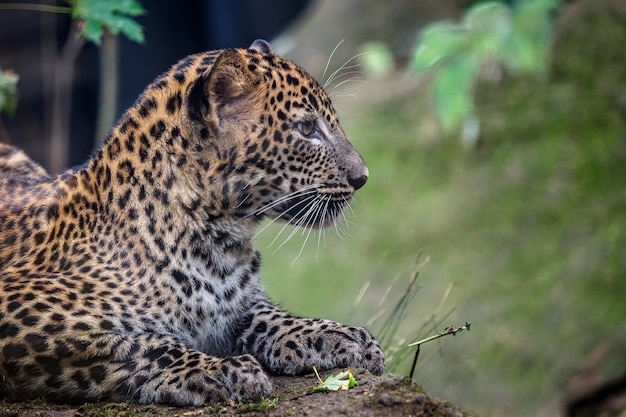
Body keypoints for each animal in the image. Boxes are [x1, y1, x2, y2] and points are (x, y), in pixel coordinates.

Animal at [0, 39, 382, 406]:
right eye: (306, 128)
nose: (362, 177)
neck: (216, 244)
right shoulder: (22, 309)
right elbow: (139, 344)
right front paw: (221, 371)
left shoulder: (238, 303)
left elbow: (270, 315)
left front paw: (339, 335)